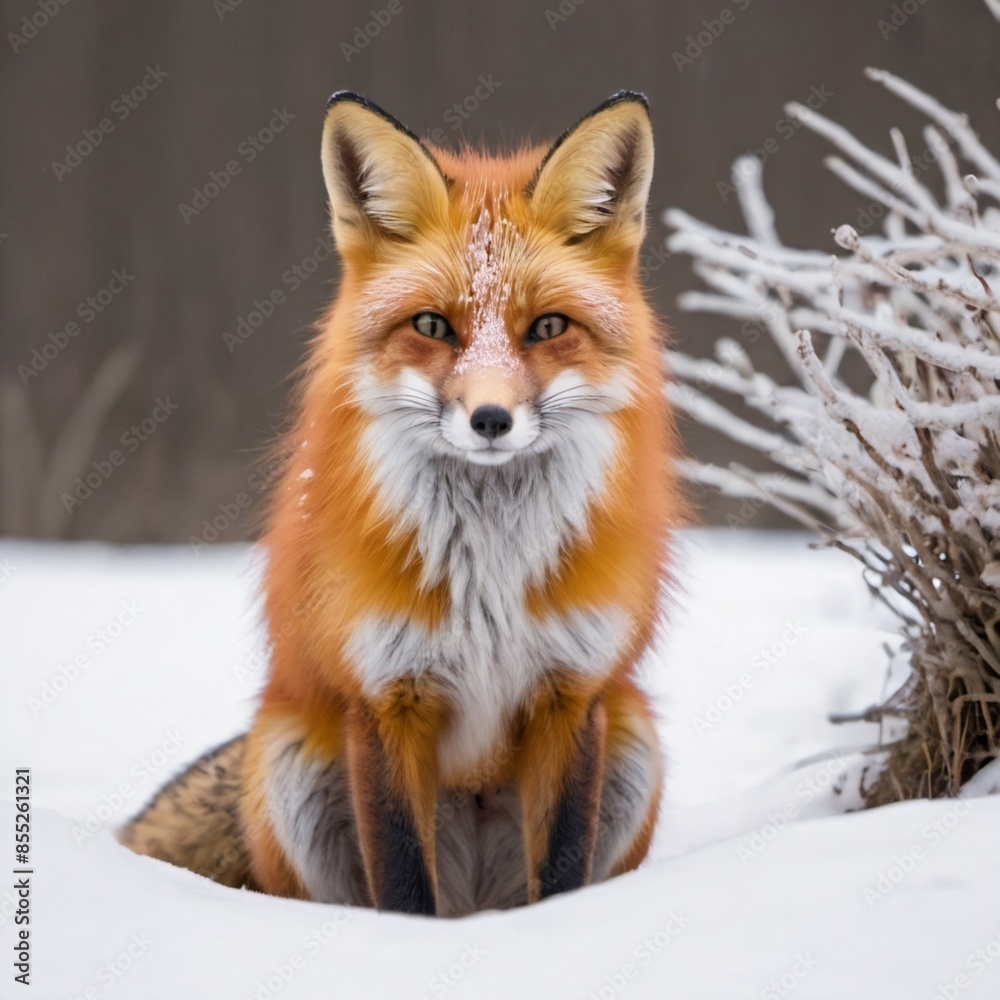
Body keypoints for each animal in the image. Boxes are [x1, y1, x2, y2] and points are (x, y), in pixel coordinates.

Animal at [119, 89, 681, 916]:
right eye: (432, 326)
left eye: (548, 327)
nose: (490, 419)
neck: (489, 578)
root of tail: (478, 902)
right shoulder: (386, 701)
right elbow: (405, 884)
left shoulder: (570, 694)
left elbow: (560, 875)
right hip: (291, 762)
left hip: (634, 736)